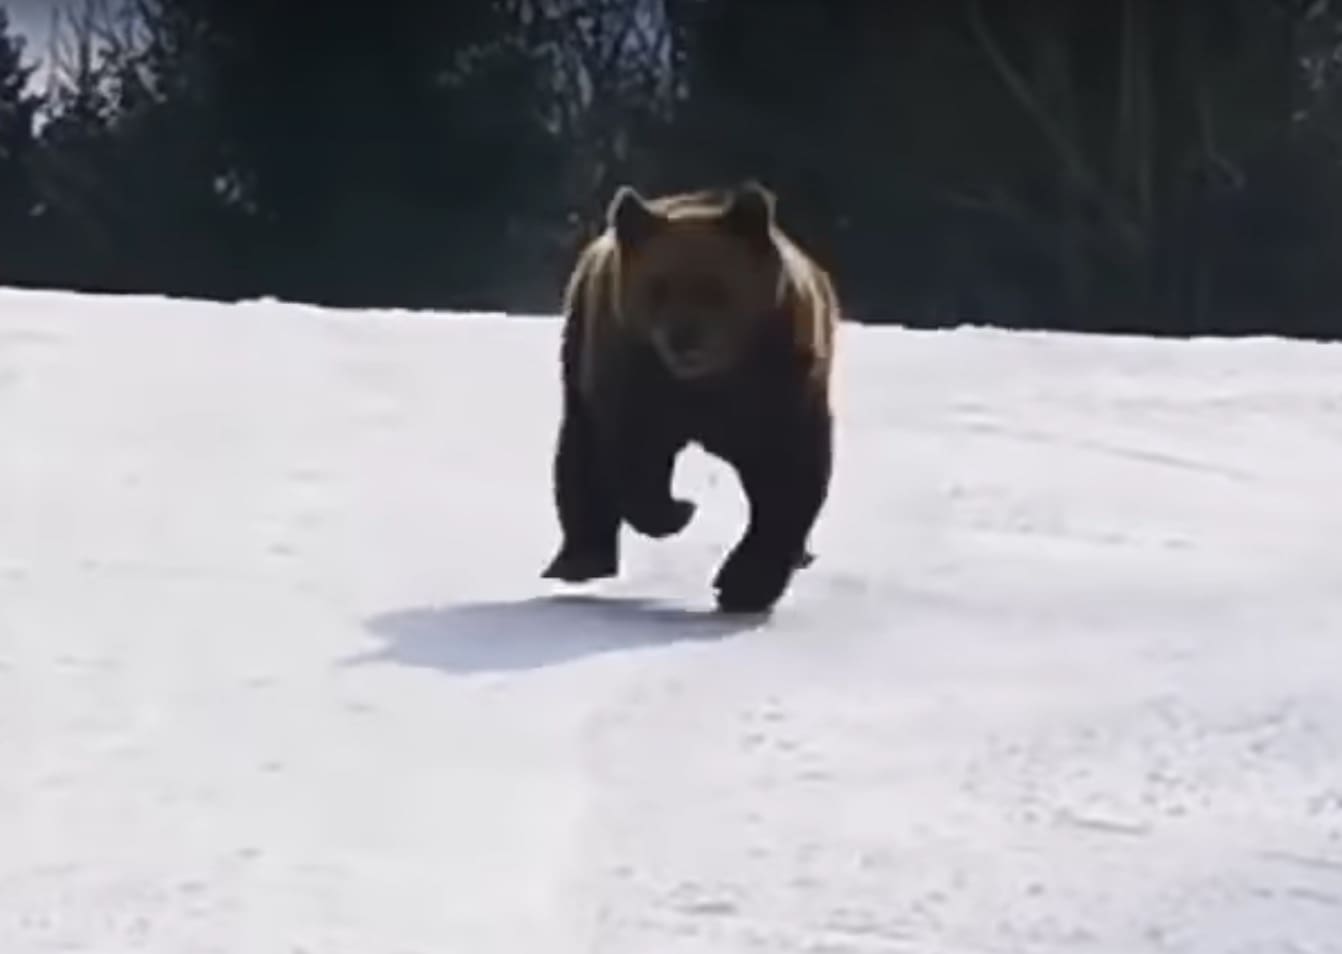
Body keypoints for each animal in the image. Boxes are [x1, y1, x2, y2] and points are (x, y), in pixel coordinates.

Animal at [536, 181, 837, 611]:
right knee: (579, 450)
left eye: (715, 288)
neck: (708, 381)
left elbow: (787, 474)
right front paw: (679, 509)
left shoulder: (778, 385)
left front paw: (745, 584)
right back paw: (578, 559)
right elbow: (631, 450)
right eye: (658, 286)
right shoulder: (635, 370)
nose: (684, 339)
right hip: (580, 347)